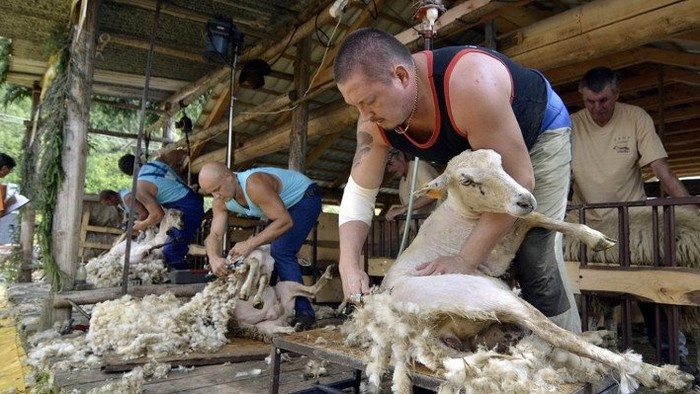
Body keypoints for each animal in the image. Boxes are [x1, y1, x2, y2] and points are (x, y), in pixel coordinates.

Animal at [342, 149, 692, 394]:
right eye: (467, 180)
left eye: (500, 162)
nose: (524, 198)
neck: (459, 213)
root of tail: (412, 332)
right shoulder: (496, 257)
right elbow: (534, 218)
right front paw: (593, 237)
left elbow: (535, 218)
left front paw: (594, 238)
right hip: (488, 294)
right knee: (555, 333)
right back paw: (657, 373)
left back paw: (601, 335)